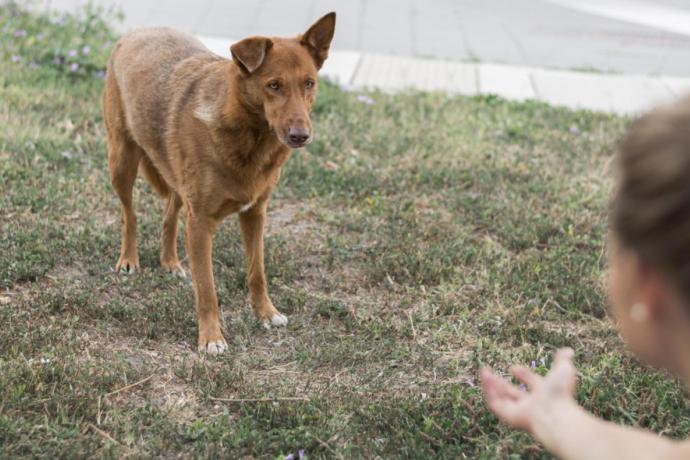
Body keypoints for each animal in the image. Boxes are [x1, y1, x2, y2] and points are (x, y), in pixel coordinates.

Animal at [103, 13, 336, 352]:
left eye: (309, 83)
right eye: (273, 85)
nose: (300, 136)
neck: (250, 137)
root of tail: (137, 31)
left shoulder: (255, 214)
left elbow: (257, 273)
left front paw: (266, 313)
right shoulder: (200, 223)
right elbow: (207, 288)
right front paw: (211, 338)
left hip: (174, 178)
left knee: (169, 212)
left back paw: (170, 261)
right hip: (121, 161)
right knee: (128, 214)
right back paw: (129, 260)